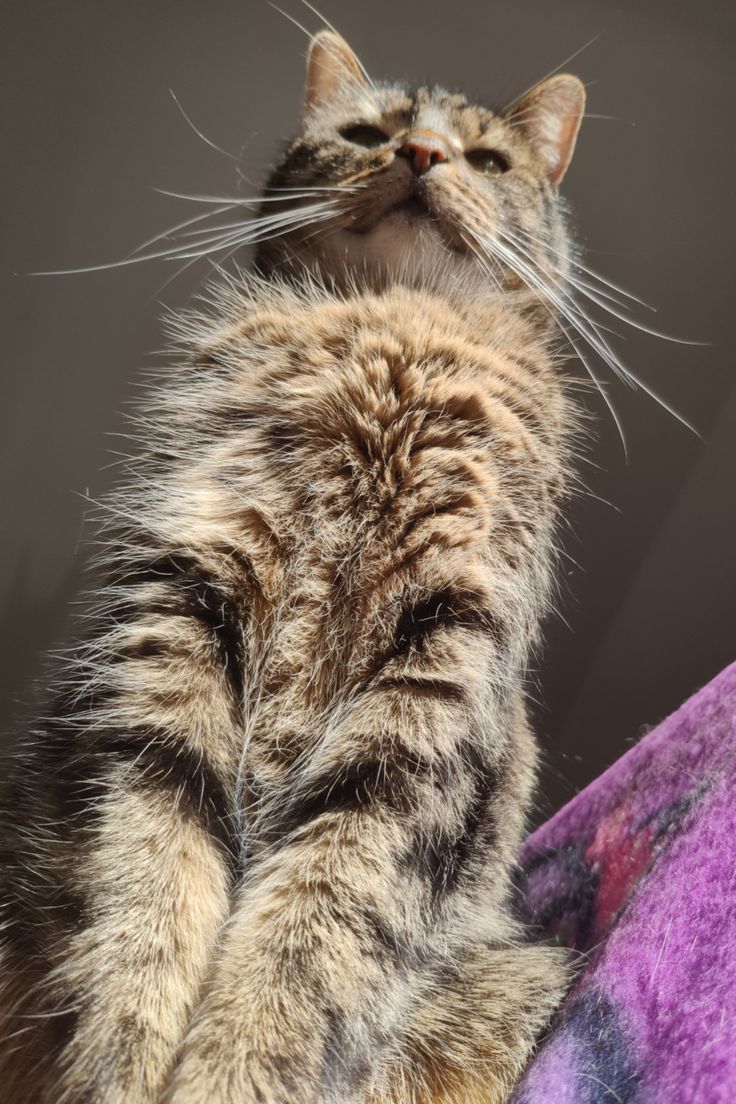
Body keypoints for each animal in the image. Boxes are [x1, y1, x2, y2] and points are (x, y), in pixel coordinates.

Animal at [0, 25, 587, 1104]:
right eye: (364, 134)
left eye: (487, 160)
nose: (422, 153)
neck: (393, 335)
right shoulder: (179, 608)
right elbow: (145, 899)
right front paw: (122, 1063)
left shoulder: (431, 694)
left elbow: (304, 948)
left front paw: (228, 1072)